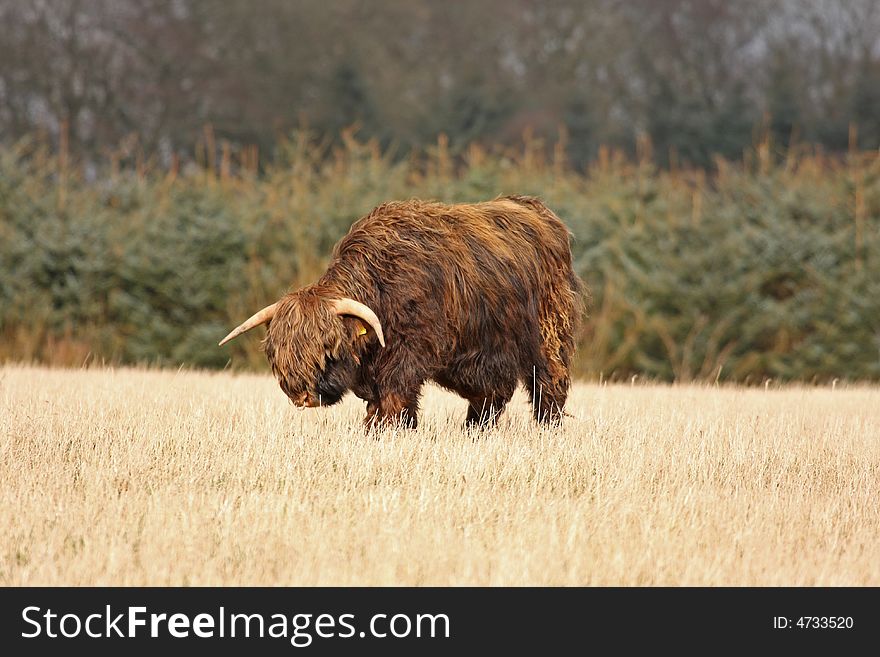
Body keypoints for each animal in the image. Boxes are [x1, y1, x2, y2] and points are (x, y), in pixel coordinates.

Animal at [220, 195, 584, 428]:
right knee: (492, 395)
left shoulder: (410, 351)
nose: (302, 397)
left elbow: (396, 396)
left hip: (549, 333)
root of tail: (537, 209)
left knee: (549, 382)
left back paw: (547, 429)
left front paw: (388, 430)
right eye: (277, 354)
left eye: (328, 350)